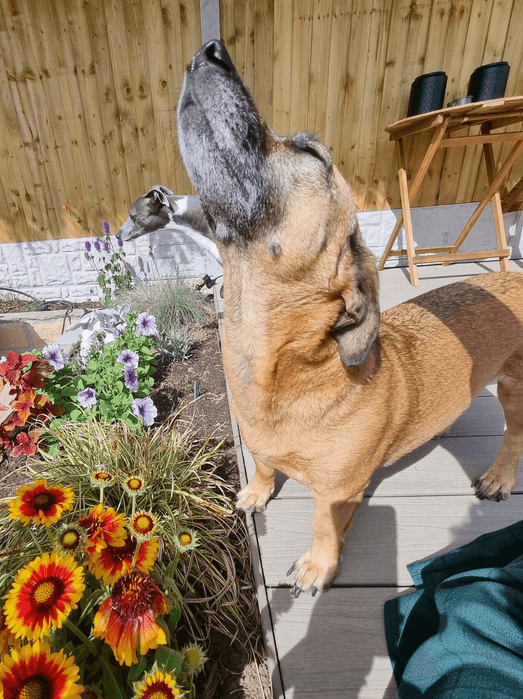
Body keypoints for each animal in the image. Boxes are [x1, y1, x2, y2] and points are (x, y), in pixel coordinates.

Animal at [178, 39, 523, 596]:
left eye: (311, 154)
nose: (210, 50)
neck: (283, 370)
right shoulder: (261, 444)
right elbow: (264, 466)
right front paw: (257, 491)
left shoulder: (339, 490)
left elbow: (324, 523)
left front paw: (318, 565)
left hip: (516, 391)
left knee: (513, 436)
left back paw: (499, 478)